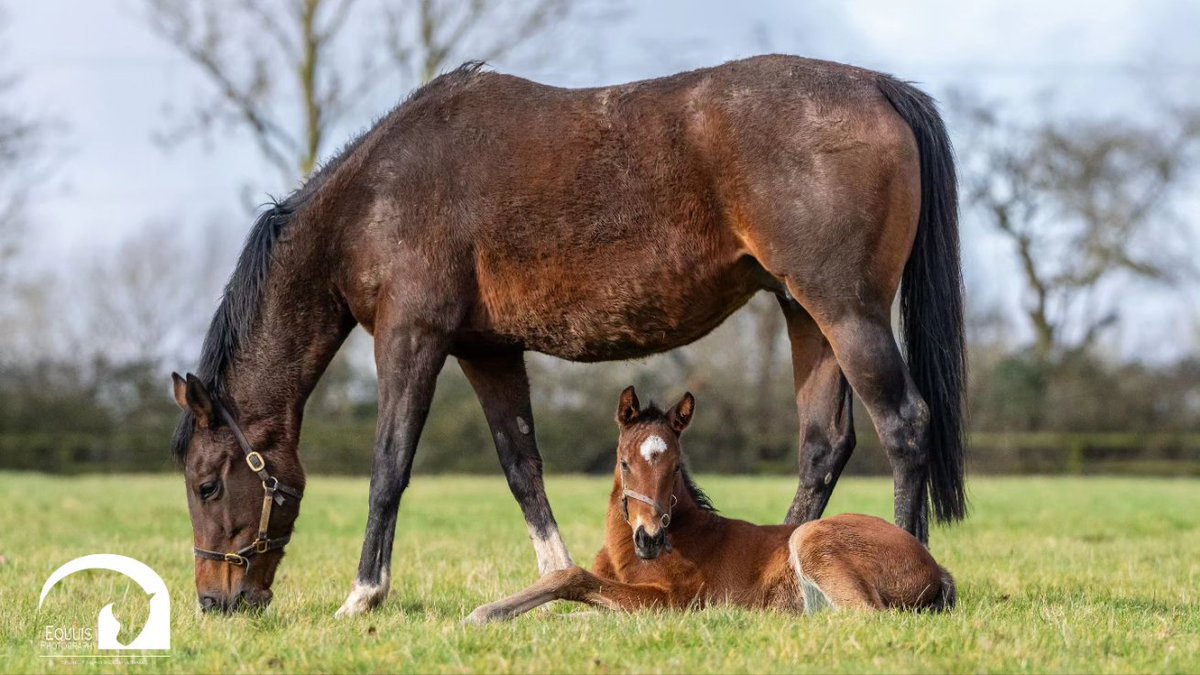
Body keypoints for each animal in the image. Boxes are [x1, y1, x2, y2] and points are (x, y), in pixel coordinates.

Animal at [466, 386, 956, 623]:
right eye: (624, 463)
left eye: (676, 465)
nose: (649, 538)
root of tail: (935, 566)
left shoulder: (670, 602)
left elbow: (575, 579)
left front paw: (485, 613)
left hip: (813, 539)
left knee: (866, 615)